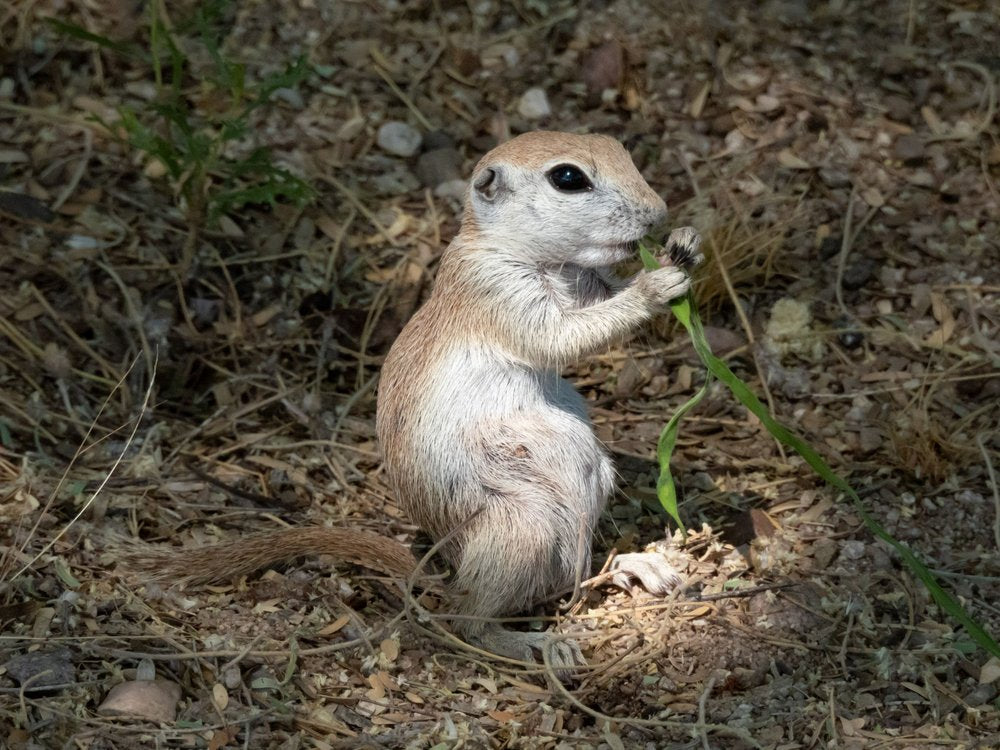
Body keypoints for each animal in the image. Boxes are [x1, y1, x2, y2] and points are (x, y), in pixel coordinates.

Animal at [131, 131, 702, 672]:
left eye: (619, 148)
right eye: (568, 178)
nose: (659, 212)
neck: (527, 254)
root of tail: (448, 576)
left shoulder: (585, 281)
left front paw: (683, 244)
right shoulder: (497, 291)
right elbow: (564, 336)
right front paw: (656, 284)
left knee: (569, 581)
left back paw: (638, 566)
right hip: (522, 529)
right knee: (472, 620)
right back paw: (540, 644)